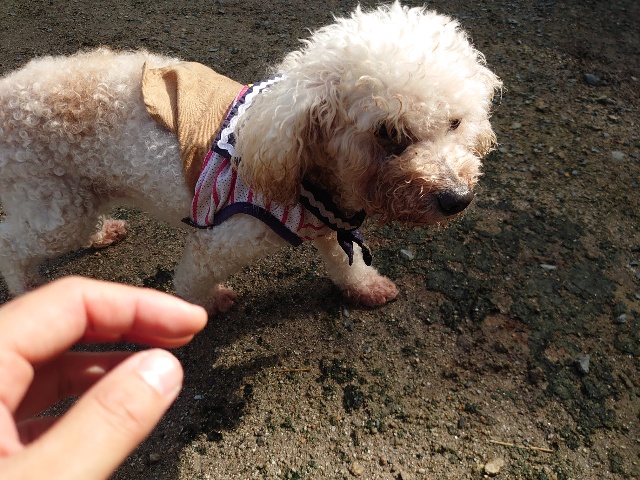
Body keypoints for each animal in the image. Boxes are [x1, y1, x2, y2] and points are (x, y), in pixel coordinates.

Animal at [0, 2, 501, 313]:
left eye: (456, 122)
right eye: (388, 133)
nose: (457, 199)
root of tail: (9, 92)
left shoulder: (331, 223)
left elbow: (347, 262)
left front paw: (365, 287)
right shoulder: (218, 243)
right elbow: (191, 286)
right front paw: (206, 307)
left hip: (79, 193)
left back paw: (102, 233)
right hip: (57, 205)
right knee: (14, 245)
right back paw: (29, 292)